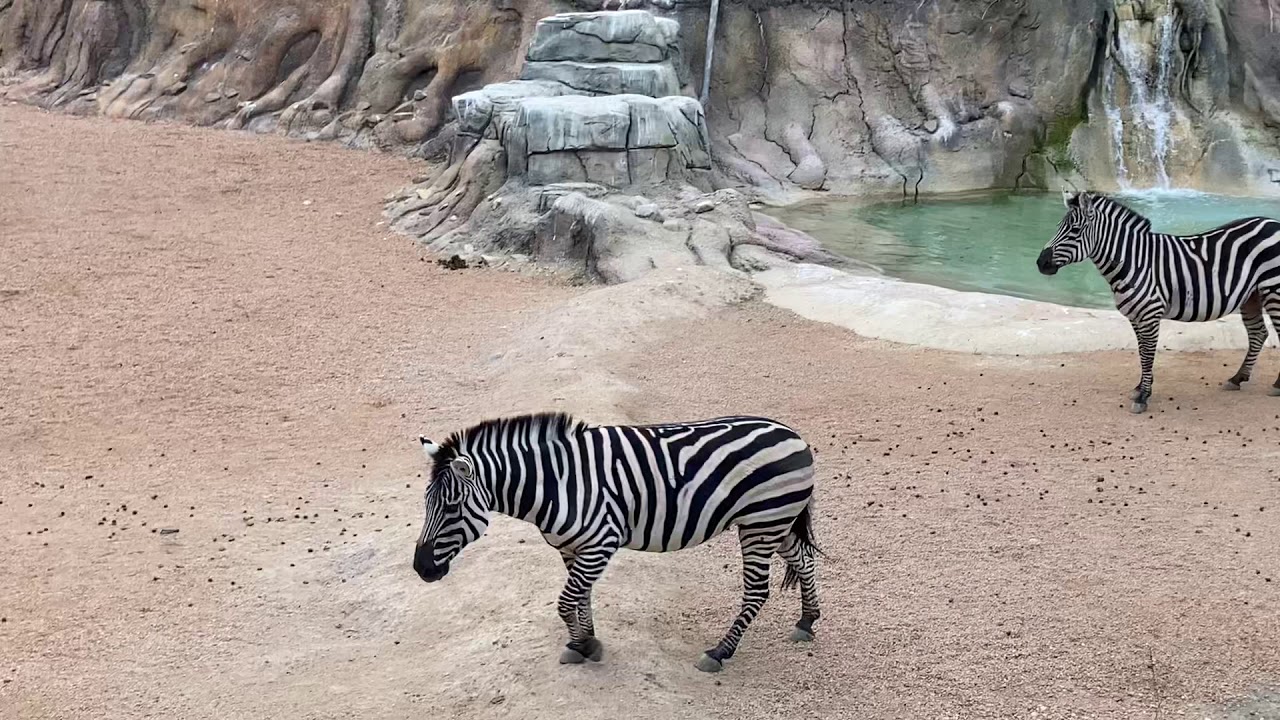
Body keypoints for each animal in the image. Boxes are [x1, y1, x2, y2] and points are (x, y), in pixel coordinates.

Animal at [412, 412, 821, 673]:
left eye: (451, 507)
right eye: (426, 502)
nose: (421, 568)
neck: (557, 484)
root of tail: (792, 433)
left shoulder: (600, 544)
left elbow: (565, 601)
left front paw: (584, 645)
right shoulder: (573, 547)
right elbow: (580, 597)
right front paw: (584, 641)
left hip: (761, 524)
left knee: (757, 591)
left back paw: (720, 652)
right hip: (775, 522)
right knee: (803, 559)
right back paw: (806, 621)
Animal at [1037, 190, 1280, 413]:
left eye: (1075, 230)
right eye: (1058, 226)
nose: (1040, 263)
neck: (1134, 261)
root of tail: (1273, 222)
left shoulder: (1149, 314)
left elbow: (1147, 354)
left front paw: (1143, 396)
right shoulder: (1135, 316)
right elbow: (1142, 352)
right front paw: (1140, 387)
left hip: (1274, 291)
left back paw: (1276, 385)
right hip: (1252, 296)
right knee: (1258, 333)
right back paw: (1237, 378)